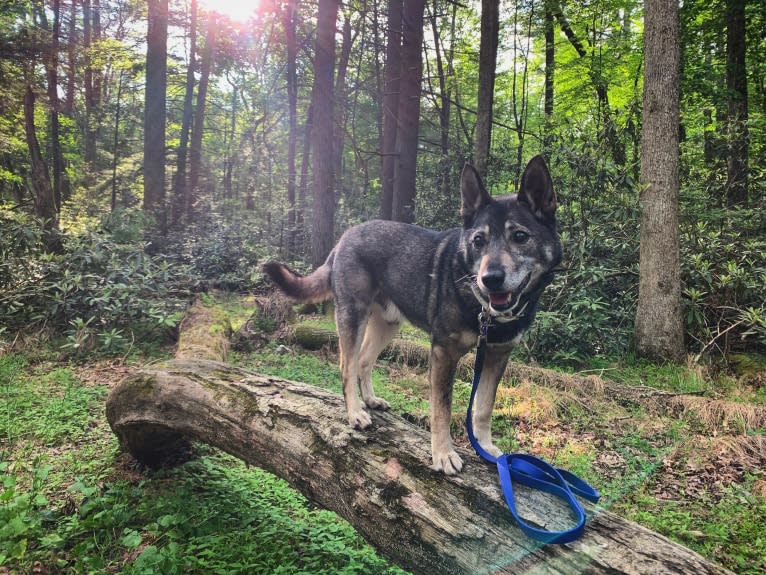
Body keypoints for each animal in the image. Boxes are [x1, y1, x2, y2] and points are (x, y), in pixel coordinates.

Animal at [266, 155, 564, 474]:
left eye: (520, 236)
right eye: (478, 241)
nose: (490, 279)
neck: (484, 311)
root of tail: (343, 239)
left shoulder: (497, 355)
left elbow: (483, 407)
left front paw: (486, 448)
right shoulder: (444, 353)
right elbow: (441, 410)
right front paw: (443, 454)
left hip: (387, 324)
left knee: (364, 361)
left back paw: (370, 400)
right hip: (353, 317)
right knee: (347, 366)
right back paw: (355, 413)